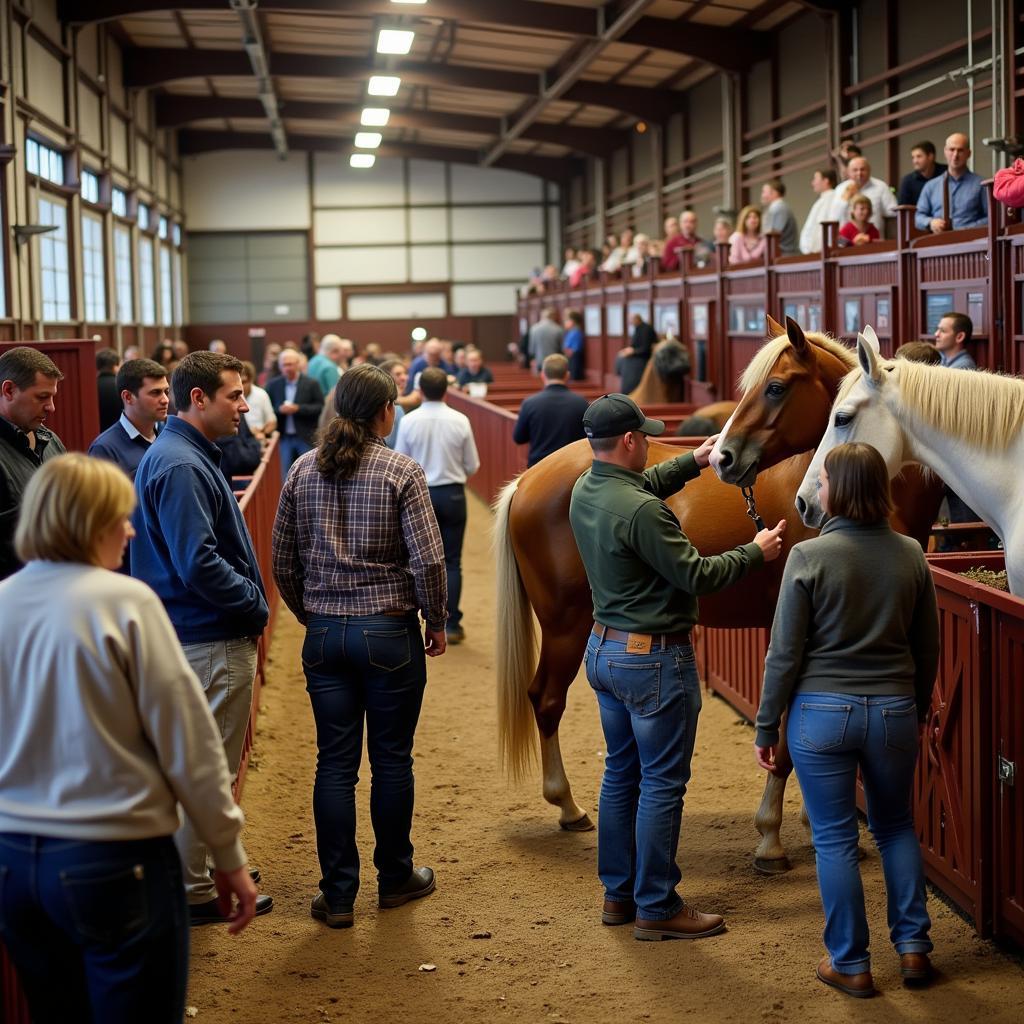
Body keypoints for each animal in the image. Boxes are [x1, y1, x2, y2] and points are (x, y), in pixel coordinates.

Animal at [495, 313, 942, 864]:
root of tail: (529, 480)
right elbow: (787, 742)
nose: (724, 457)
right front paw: (770, 837)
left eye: (775, 388)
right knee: (547, 700)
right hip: (564, 624)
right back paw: (568, 806)